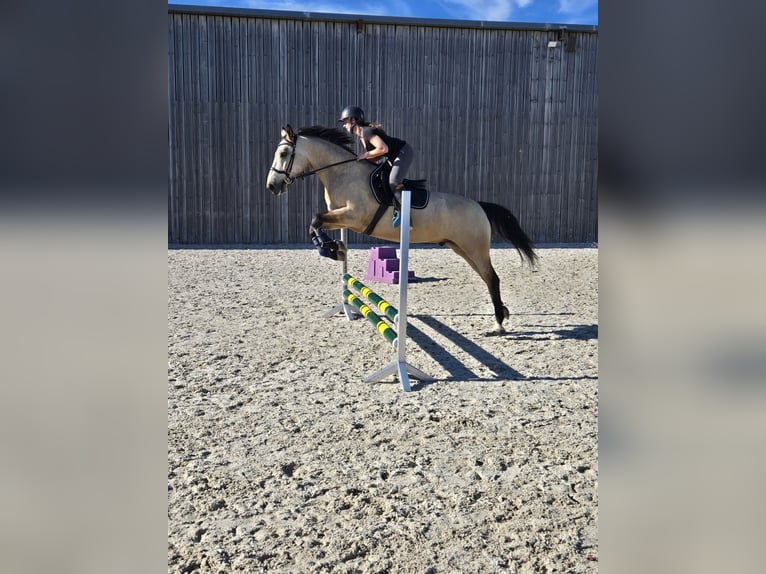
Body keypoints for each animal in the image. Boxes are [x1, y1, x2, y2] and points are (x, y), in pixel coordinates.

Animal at [266, 124, 538, 333]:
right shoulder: (342, 218)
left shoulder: (354, 217)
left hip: (475, 248)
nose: (272, 186)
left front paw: (330, 250)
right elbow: (316, 223)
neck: (342, 172)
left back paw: (499, 323)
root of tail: (479, 205)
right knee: (487, 278)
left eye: (284, 152)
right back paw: (502, 313)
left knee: (492, 278)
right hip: (461, 248)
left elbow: (315, 220)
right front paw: (336, 249)